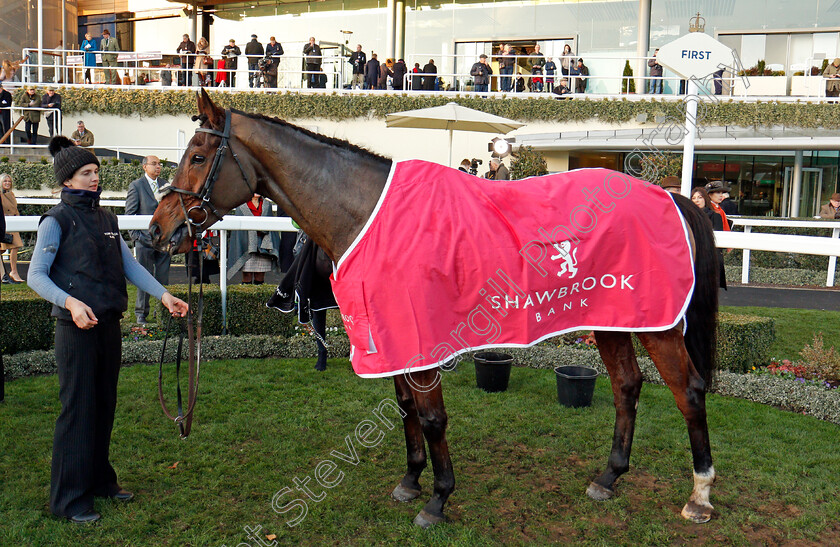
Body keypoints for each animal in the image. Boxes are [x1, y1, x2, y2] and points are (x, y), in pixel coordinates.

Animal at [148, 89, 720, 528]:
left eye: (197, 156)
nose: (157, 229)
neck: (371, 214)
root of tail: (670, 195)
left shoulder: (421, 339)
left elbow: (432, 416)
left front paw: (439, 497)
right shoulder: (393, 338)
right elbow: (406, 410)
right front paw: (411, 480)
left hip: (659, 326)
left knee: (688, 391)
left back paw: (699, 495)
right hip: (614, 320)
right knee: (627, 386)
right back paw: (609, 476)